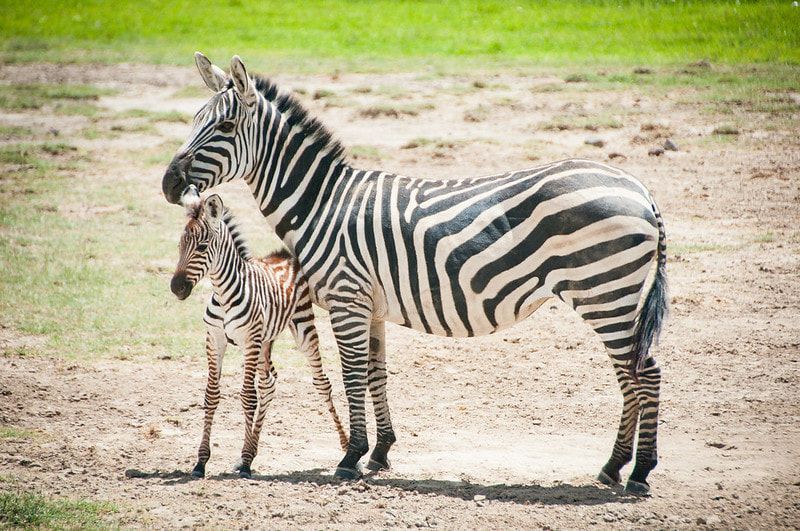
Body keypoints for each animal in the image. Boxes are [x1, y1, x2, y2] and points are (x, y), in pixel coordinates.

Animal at [170, 190, 346, 478]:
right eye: (179, 246)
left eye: (203, 247)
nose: (176, 288)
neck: (223, 294)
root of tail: (285, 254)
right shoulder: (215, 339)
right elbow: (212, 395)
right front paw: (201, 462)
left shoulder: (249, 339)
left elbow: (247, 397)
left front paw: (243, 462)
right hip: (265, 340)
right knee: (269, 382)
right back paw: (250, 453)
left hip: (302, 327)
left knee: (321, 383)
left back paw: (345, 445)